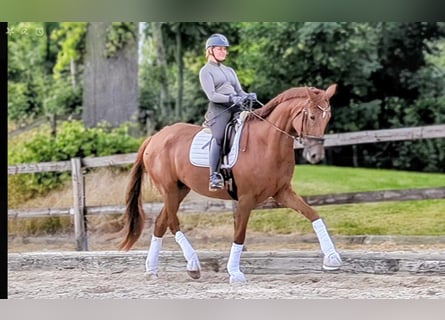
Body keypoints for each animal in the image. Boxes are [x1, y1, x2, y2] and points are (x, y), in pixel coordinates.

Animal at [118, 83, 340, 282]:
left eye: (327, 118)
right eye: (311, 116)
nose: (315, 155)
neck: (267, 142)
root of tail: (154, 138)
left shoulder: (282, 192)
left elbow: (314, 215)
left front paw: (332, 259)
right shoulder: (246, 199)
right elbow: (240, 234)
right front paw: (235, 273)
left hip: (180, 190)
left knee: (160, 223)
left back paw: (152, 270)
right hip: (169, 189)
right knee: (172, 222)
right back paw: (193, 264)